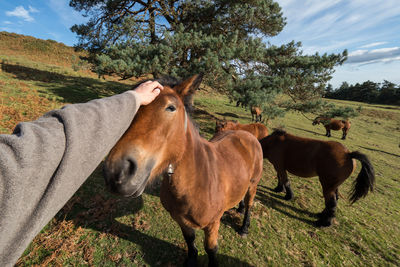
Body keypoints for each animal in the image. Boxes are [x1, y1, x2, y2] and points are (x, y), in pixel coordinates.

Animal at [104, 74, 264, 266]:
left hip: (254, 184)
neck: (197, 180)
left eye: (171, 108)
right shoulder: (180, 219)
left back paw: (244, 227)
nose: (117, 172)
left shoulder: (212, 224)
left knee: (249, 203)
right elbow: (189, 240)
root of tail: (248, 135)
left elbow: (211, 249)